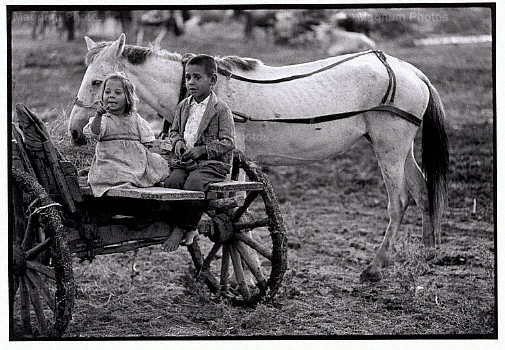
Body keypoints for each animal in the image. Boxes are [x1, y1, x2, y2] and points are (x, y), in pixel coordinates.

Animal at [68, 33, 448, 282]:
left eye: (99, 82)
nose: (74, 131)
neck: (212, 91)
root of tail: (410, 70)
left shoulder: (234, 161)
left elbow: (233, 212)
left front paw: (243, 270)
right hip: (400, 148)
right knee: (422, 190)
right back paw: (429, 253)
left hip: (389, 147)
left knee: (399, 201)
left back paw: (374, 267)